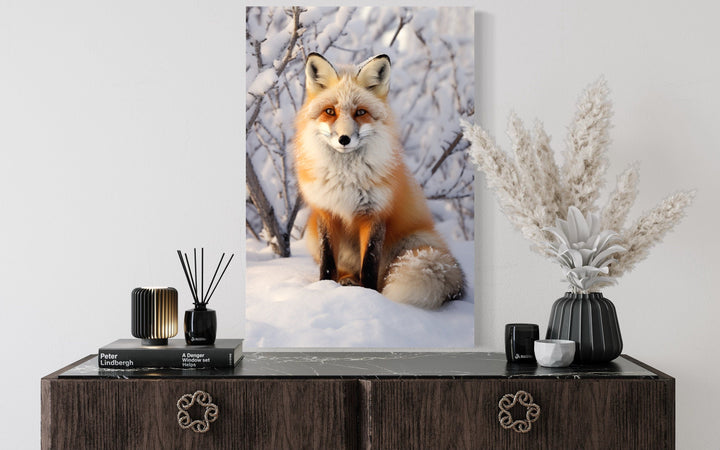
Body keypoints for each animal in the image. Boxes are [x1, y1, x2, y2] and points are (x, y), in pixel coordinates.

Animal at [293, 52, 465, 309]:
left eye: (360, 112)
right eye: (330, 111)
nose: (344, 139)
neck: (346, 178)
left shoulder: (374, 214)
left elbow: (370, 266)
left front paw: (369, 298)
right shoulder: (326, 212)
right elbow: (328, 264)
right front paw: (323, 289)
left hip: (411, 244)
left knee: (384, 275)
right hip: (312, 233)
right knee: (345, 269)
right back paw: (346, 279)